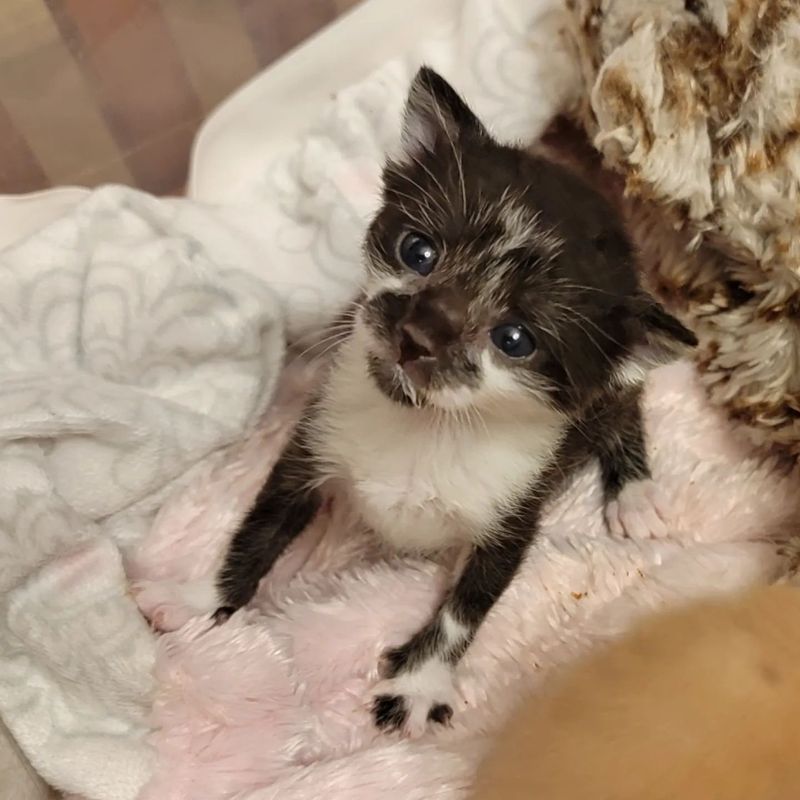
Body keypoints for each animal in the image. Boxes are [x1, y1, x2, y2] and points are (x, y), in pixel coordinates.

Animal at [212, 65, 692, 736]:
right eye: (419, 251)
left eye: (515, 339)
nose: (418, 336)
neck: (428, 425)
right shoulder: (319, 433)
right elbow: (264, 516)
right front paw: (201, 606)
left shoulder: (513, 511)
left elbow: (466, 607)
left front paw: (417, 685)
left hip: (612, 388)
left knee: (624, 405)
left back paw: (636, 494)